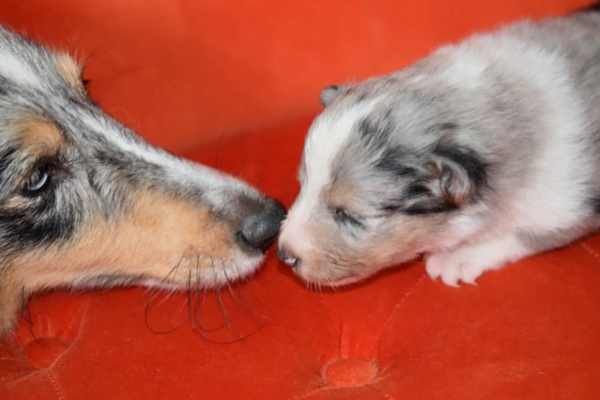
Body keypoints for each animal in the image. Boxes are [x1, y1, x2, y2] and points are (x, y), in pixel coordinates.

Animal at [278, 5, 600, 288]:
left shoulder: (564, 207)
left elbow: (518, 236)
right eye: (302, 185)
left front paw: (456, 258)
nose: (282, 254)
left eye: (349, 215)